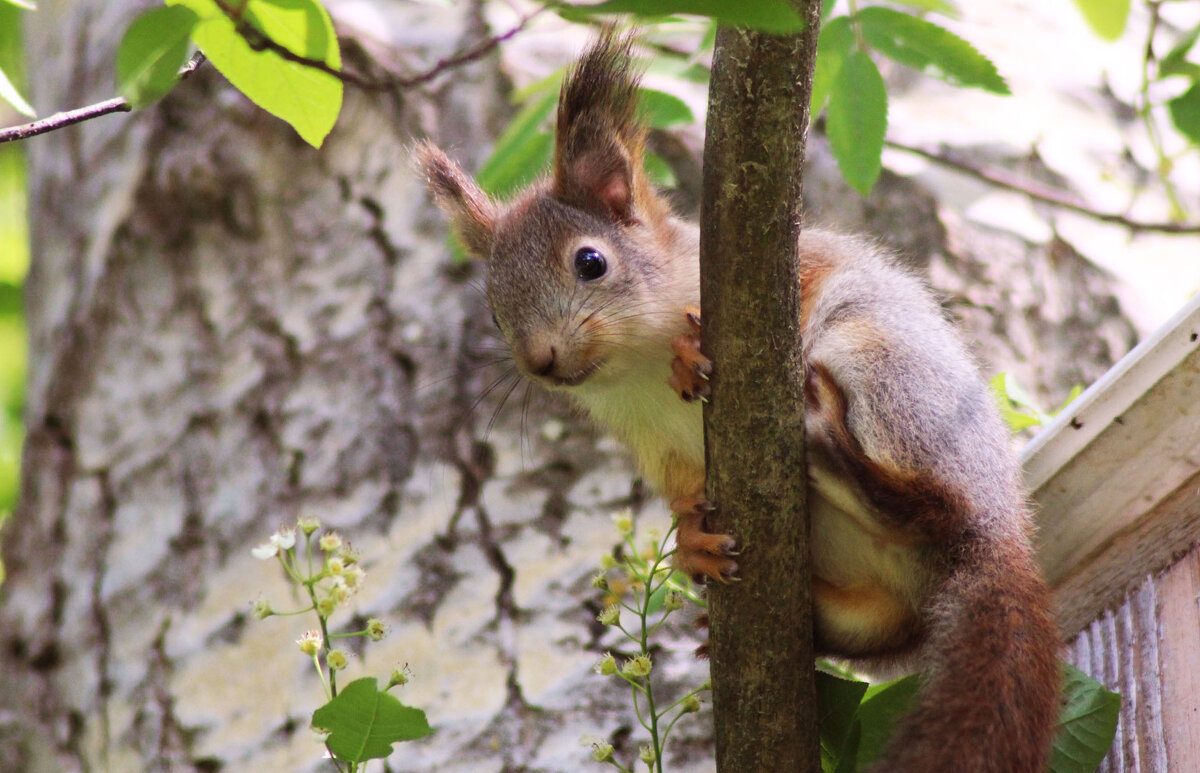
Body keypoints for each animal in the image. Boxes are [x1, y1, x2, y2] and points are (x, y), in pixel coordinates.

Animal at [420, 28, 1060, 773]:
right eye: (495, 313)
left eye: (590, 262)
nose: (540, 361)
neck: (633, 369)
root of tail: (1001, 533)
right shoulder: (648, 441)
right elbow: (678, 489)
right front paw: (692, 544)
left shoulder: (786, 268)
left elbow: (807, 285)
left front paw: (689, 348)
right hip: (881, 608)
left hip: (888, 370)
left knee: (935, 505)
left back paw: (844, 461)